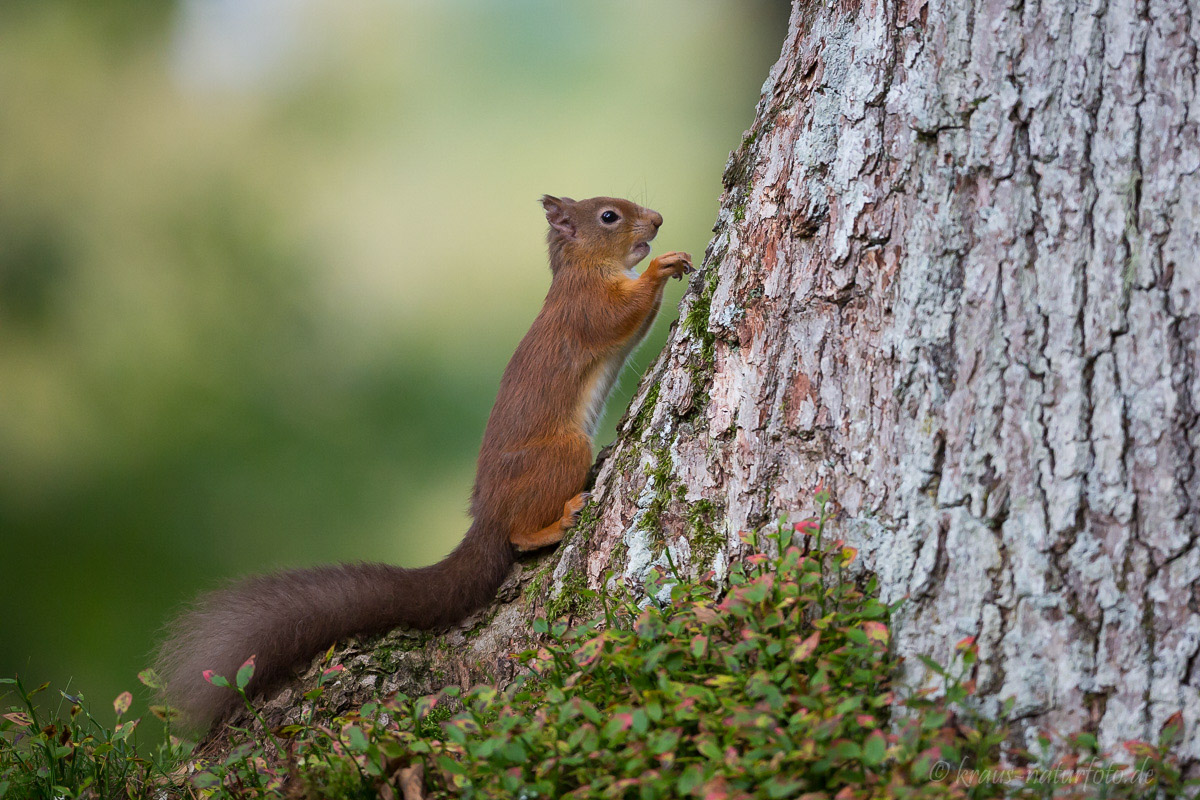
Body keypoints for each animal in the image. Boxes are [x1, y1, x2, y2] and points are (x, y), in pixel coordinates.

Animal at [157, 195, 696, 734]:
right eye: (609, 216)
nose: (657, 221)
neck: (587, 268)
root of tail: (488, 515)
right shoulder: (585, 307)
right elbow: (618, 316)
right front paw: (662, 265)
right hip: (562, 452)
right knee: (518, 536)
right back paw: (557, 522)